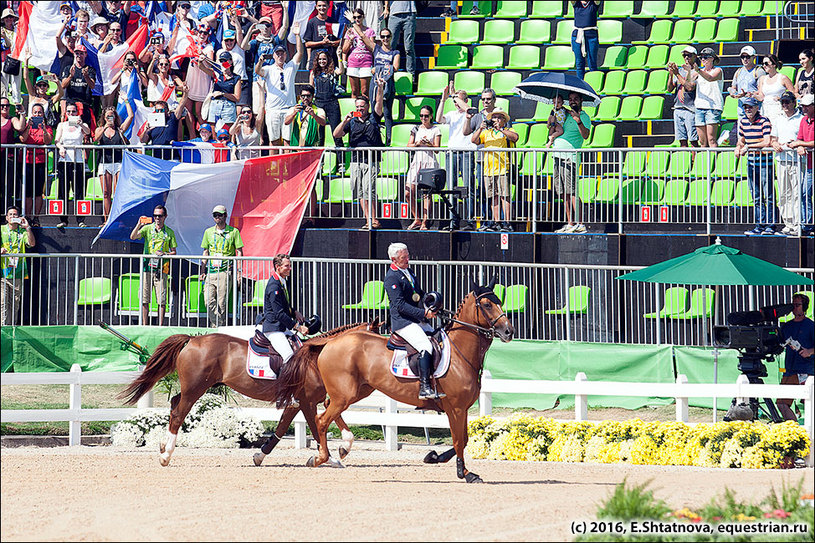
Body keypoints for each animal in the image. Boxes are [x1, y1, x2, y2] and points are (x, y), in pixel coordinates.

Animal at [118, 324, 380, 468]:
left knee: (174, 405)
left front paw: (259, 456)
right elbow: (317, 430)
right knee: (179, 413)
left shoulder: (299, 403)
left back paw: (163, 445)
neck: (319, 356)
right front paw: (331, 458)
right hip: (195, 389)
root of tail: (192, 339)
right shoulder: (307, 401)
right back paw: (166, 455)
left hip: (193, 387)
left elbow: (282, 430)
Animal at [278, 280, 512, 484]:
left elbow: (464, 438)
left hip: (356, 391)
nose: (509, 331)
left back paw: (345, 445)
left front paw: (434, 457)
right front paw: (465, 473)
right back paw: (320, 458)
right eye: (487, 304)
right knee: (321, 420)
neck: (459, 352)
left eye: (500, 301)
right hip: (345, 395)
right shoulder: (456, 408)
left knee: (327, 408)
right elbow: (459, 440)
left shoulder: (460, 408)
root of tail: (329, 342)